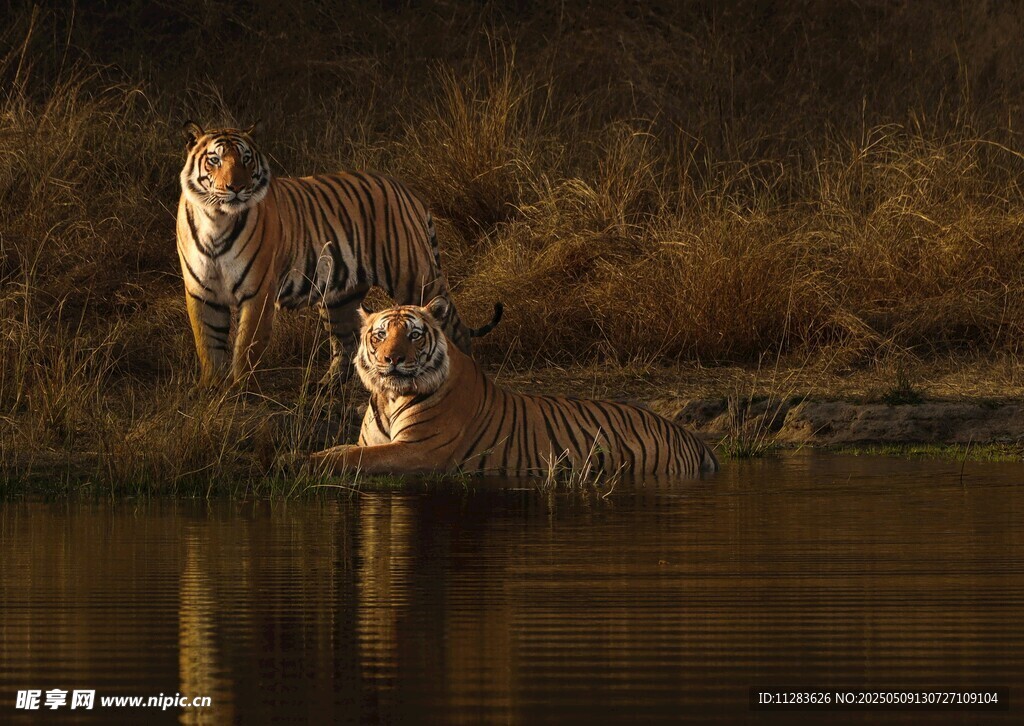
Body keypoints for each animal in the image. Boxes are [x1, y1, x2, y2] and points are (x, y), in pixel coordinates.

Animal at [176, 122, 502, 387]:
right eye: (214, 160)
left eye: (246, 159)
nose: (236, 188)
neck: (216, 220)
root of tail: (407, 190)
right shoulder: (201, 292)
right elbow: (208, 342)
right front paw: (212, 389)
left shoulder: (257, 293)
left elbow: (246, 346)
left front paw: (240, 388)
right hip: (339, 296)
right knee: (346, 342)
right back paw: (327, 385)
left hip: (415, 278)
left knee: (453, 328)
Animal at [309, 299, 719, 477]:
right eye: (379, 335)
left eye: (413, 335)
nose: (391, 359)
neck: (389, 396)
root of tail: (691, 436)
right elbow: (345, 450)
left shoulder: (419, 451)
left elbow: (351, 458)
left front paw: (299, 461)